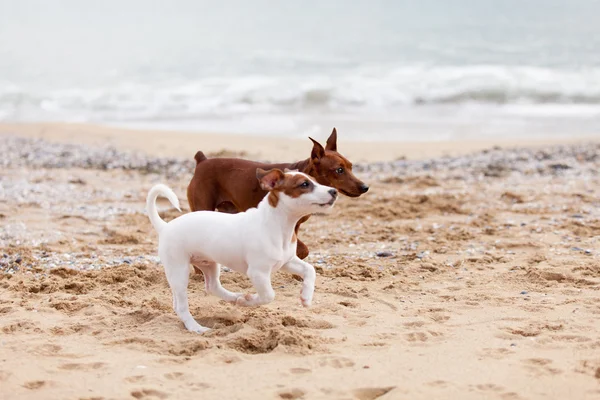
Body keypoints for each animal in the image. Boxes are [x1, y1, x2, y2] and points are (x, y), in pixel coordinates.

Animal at [146, 167, 338, 332]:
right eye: (304, 184)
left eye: (315, 181)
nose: (334, 191)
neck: (277, 224)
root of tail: (165, 226)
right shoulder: (258, 272)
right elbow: (268, 295)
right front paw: (249, 301)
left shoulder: (287, 262)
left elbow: (310, 270)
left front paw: (306, 296)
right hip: (179, 271)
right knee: (181, 306)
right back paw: (196, 327)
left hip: (209, 263)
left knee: (212, 286)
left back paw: (234, 297)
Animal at [188, 126, 368, 260]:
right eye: (339, 170)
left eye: (351, 166)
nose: (365, 187)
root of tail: (202, 161)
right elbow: (302, 250)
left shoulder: (294, 226)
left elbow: (299, 250)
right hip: (202, 207)